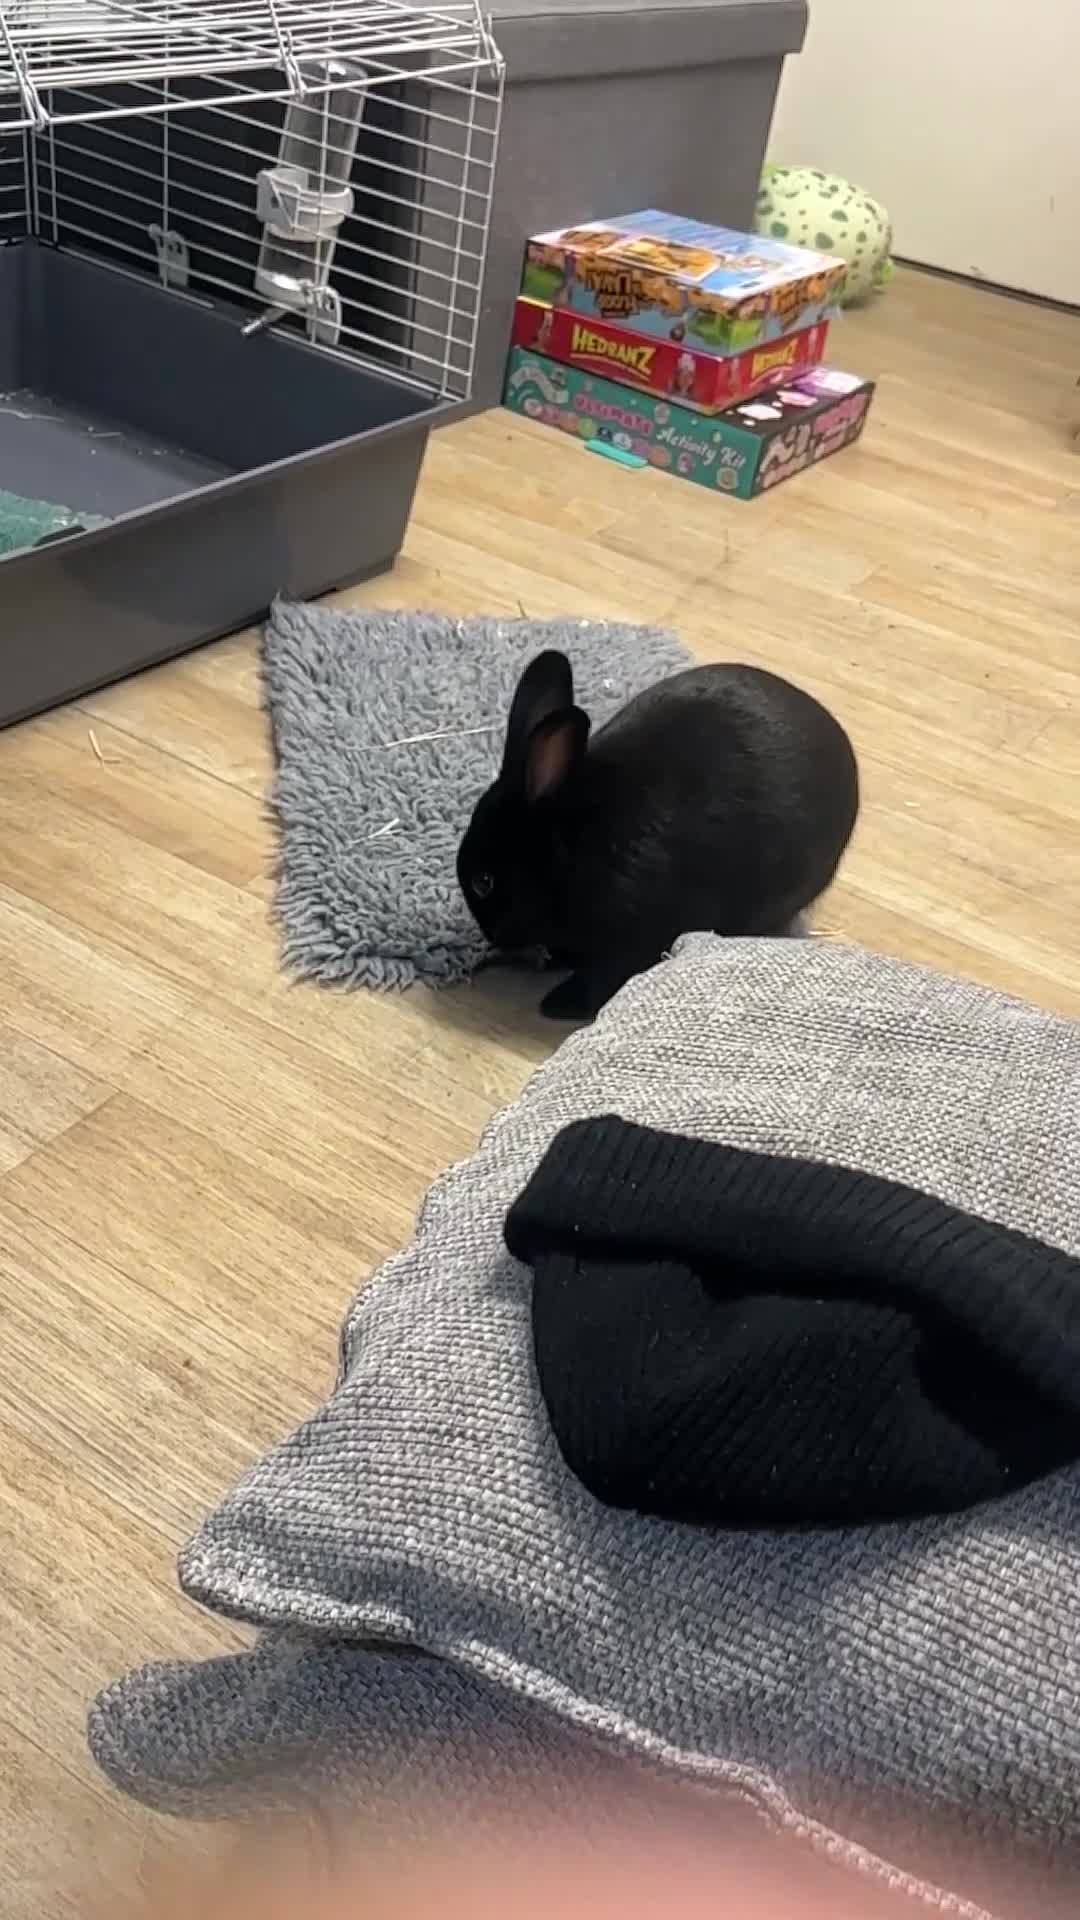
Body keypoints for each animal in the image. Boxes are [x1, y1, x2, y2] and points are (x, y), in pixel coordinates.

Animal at [457, 649, 858, 1020]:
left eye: (483, 882)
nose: (491, 937)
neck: (571, 844)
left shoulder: (631, 937)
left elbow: (604, 977)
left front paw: (558, 1004)